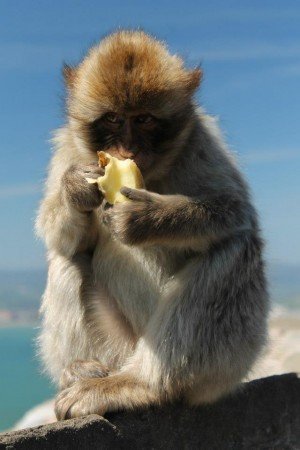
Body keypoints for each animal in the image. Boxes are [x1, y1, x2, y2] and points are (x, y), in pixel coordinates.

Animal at [35, 29, 270, 420]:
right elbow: (59, 234)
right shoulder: (67, 147)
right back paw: (82, 369)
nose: (128, 149)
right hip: (116, 344)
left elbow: (235, 213)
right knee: (66, 258)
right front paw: (75, 189)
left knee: (234, 248)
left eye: (144, 119)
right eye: (114, 119)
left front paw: (146, 218)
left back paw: (139, 385)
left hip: (225, 362)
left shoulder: (200, 140)